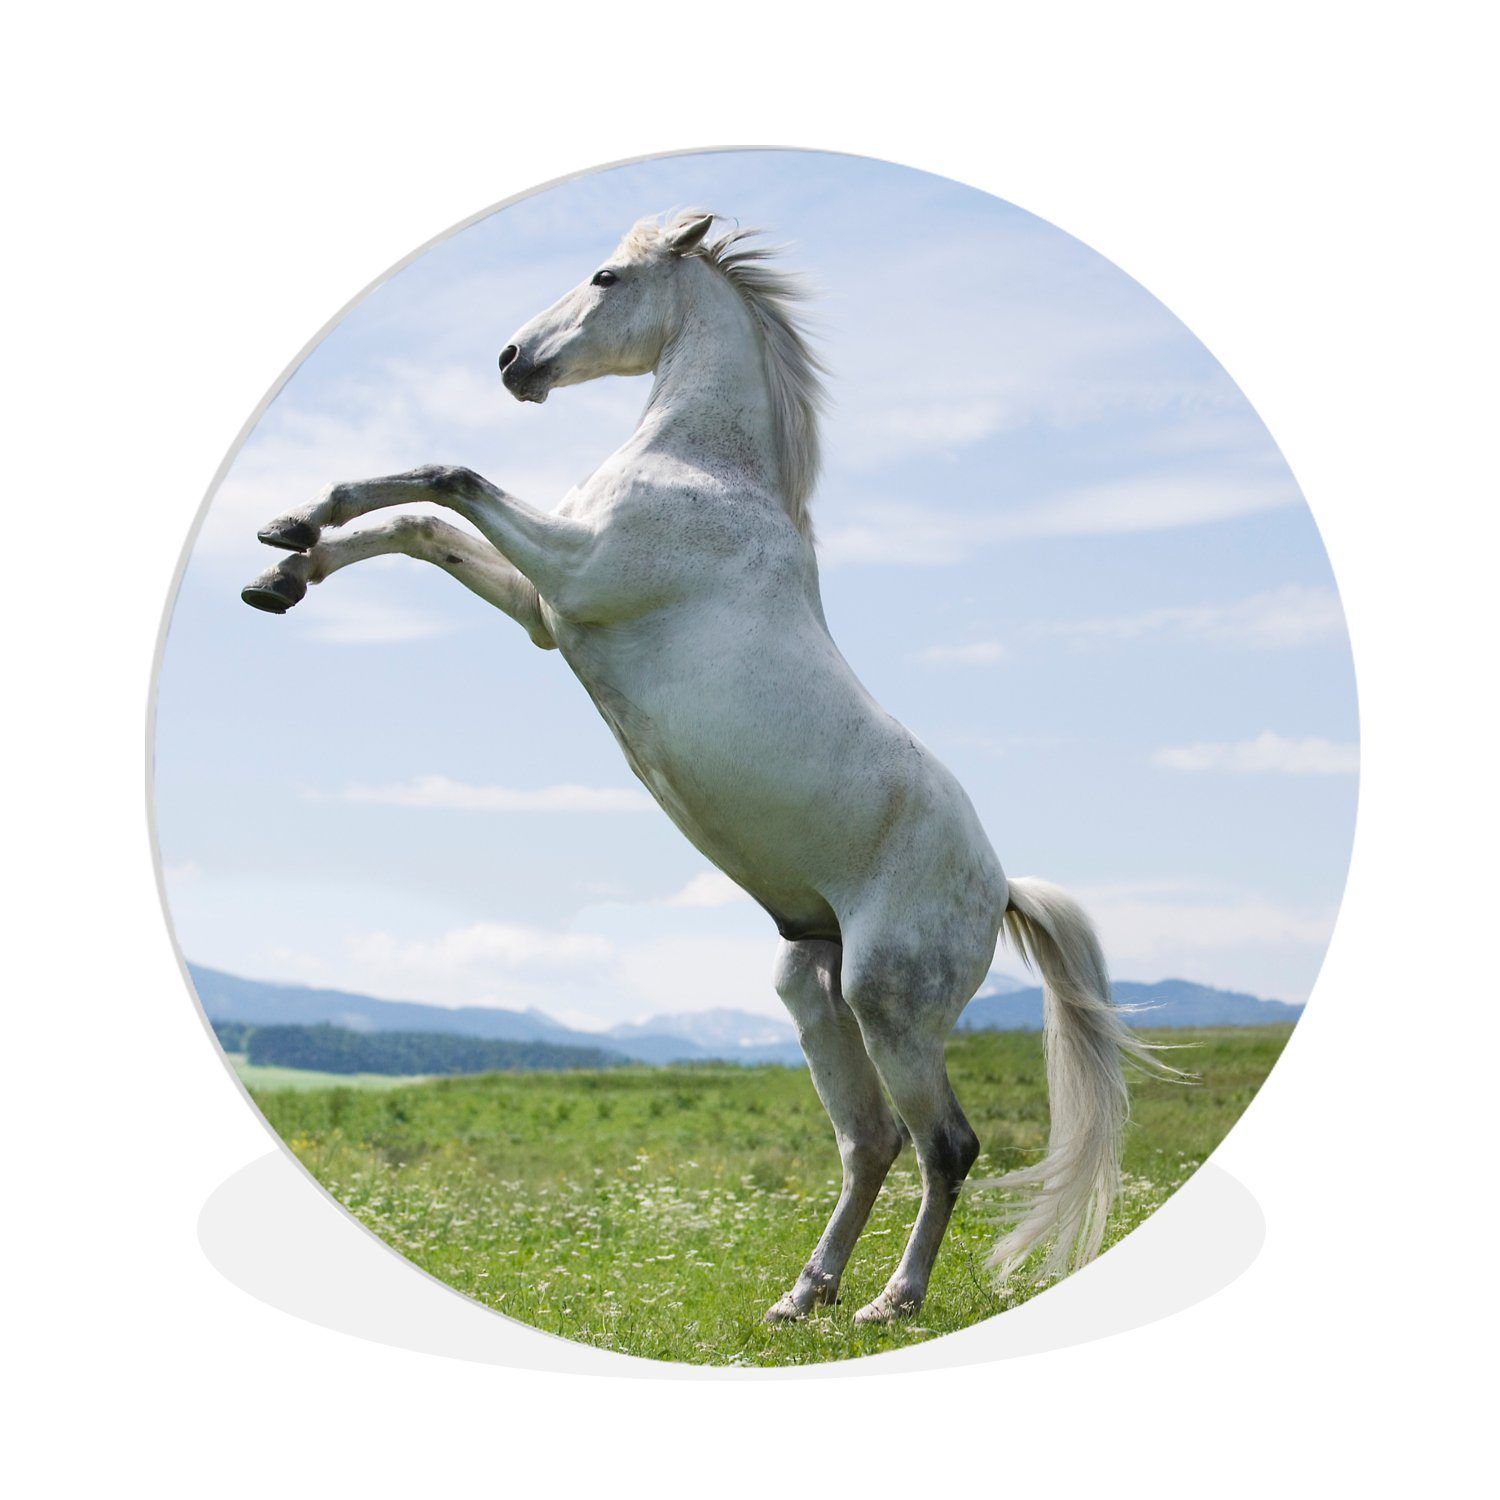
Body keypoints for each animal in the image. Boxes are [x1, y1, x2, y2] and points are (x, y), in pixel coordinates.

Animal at [241, 209, 1174, 1324]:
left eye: (606, 276)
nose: (512, 361)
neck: (705, 471)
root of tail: (1000, 888)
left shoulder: (575, 571)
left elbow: (447, 480)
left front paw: (295, 534)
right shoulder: (545, 610)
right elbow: (421, 525)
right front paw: (283, 559)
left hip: (890, 1008)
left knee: (946, 1145)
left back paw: (889, 1300)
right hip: (814, 990)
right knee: (871, 1141)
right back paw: (802, 1296)